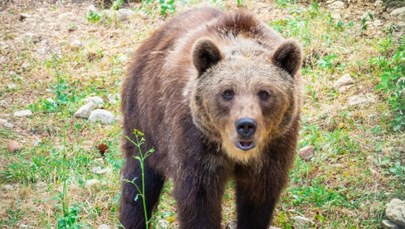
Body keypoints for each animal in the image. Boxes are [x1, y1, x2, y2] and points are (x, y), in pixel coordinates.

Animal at [120, 6, 304, 228]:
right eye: (227, 92)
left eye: (264, 93)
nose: (246, 125)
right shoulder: (195, 146)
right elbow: (199, 201)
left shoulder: (274, 148)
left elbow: (257, 201)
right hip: (145, 118)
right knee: (139, 182)